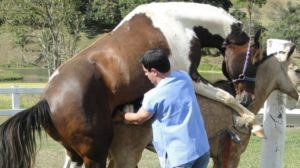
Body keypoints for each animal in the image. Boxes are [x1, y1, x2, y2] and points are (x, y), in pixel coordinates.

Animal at [0, 1, 258, 168]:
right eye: (254, 57)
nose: (249, 98)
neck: (179, 22)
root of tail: (46, 102)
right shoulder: (190, 76)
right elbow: (226, 96)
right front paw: (252, 122)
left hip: (75, 154)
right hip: (95, 155)